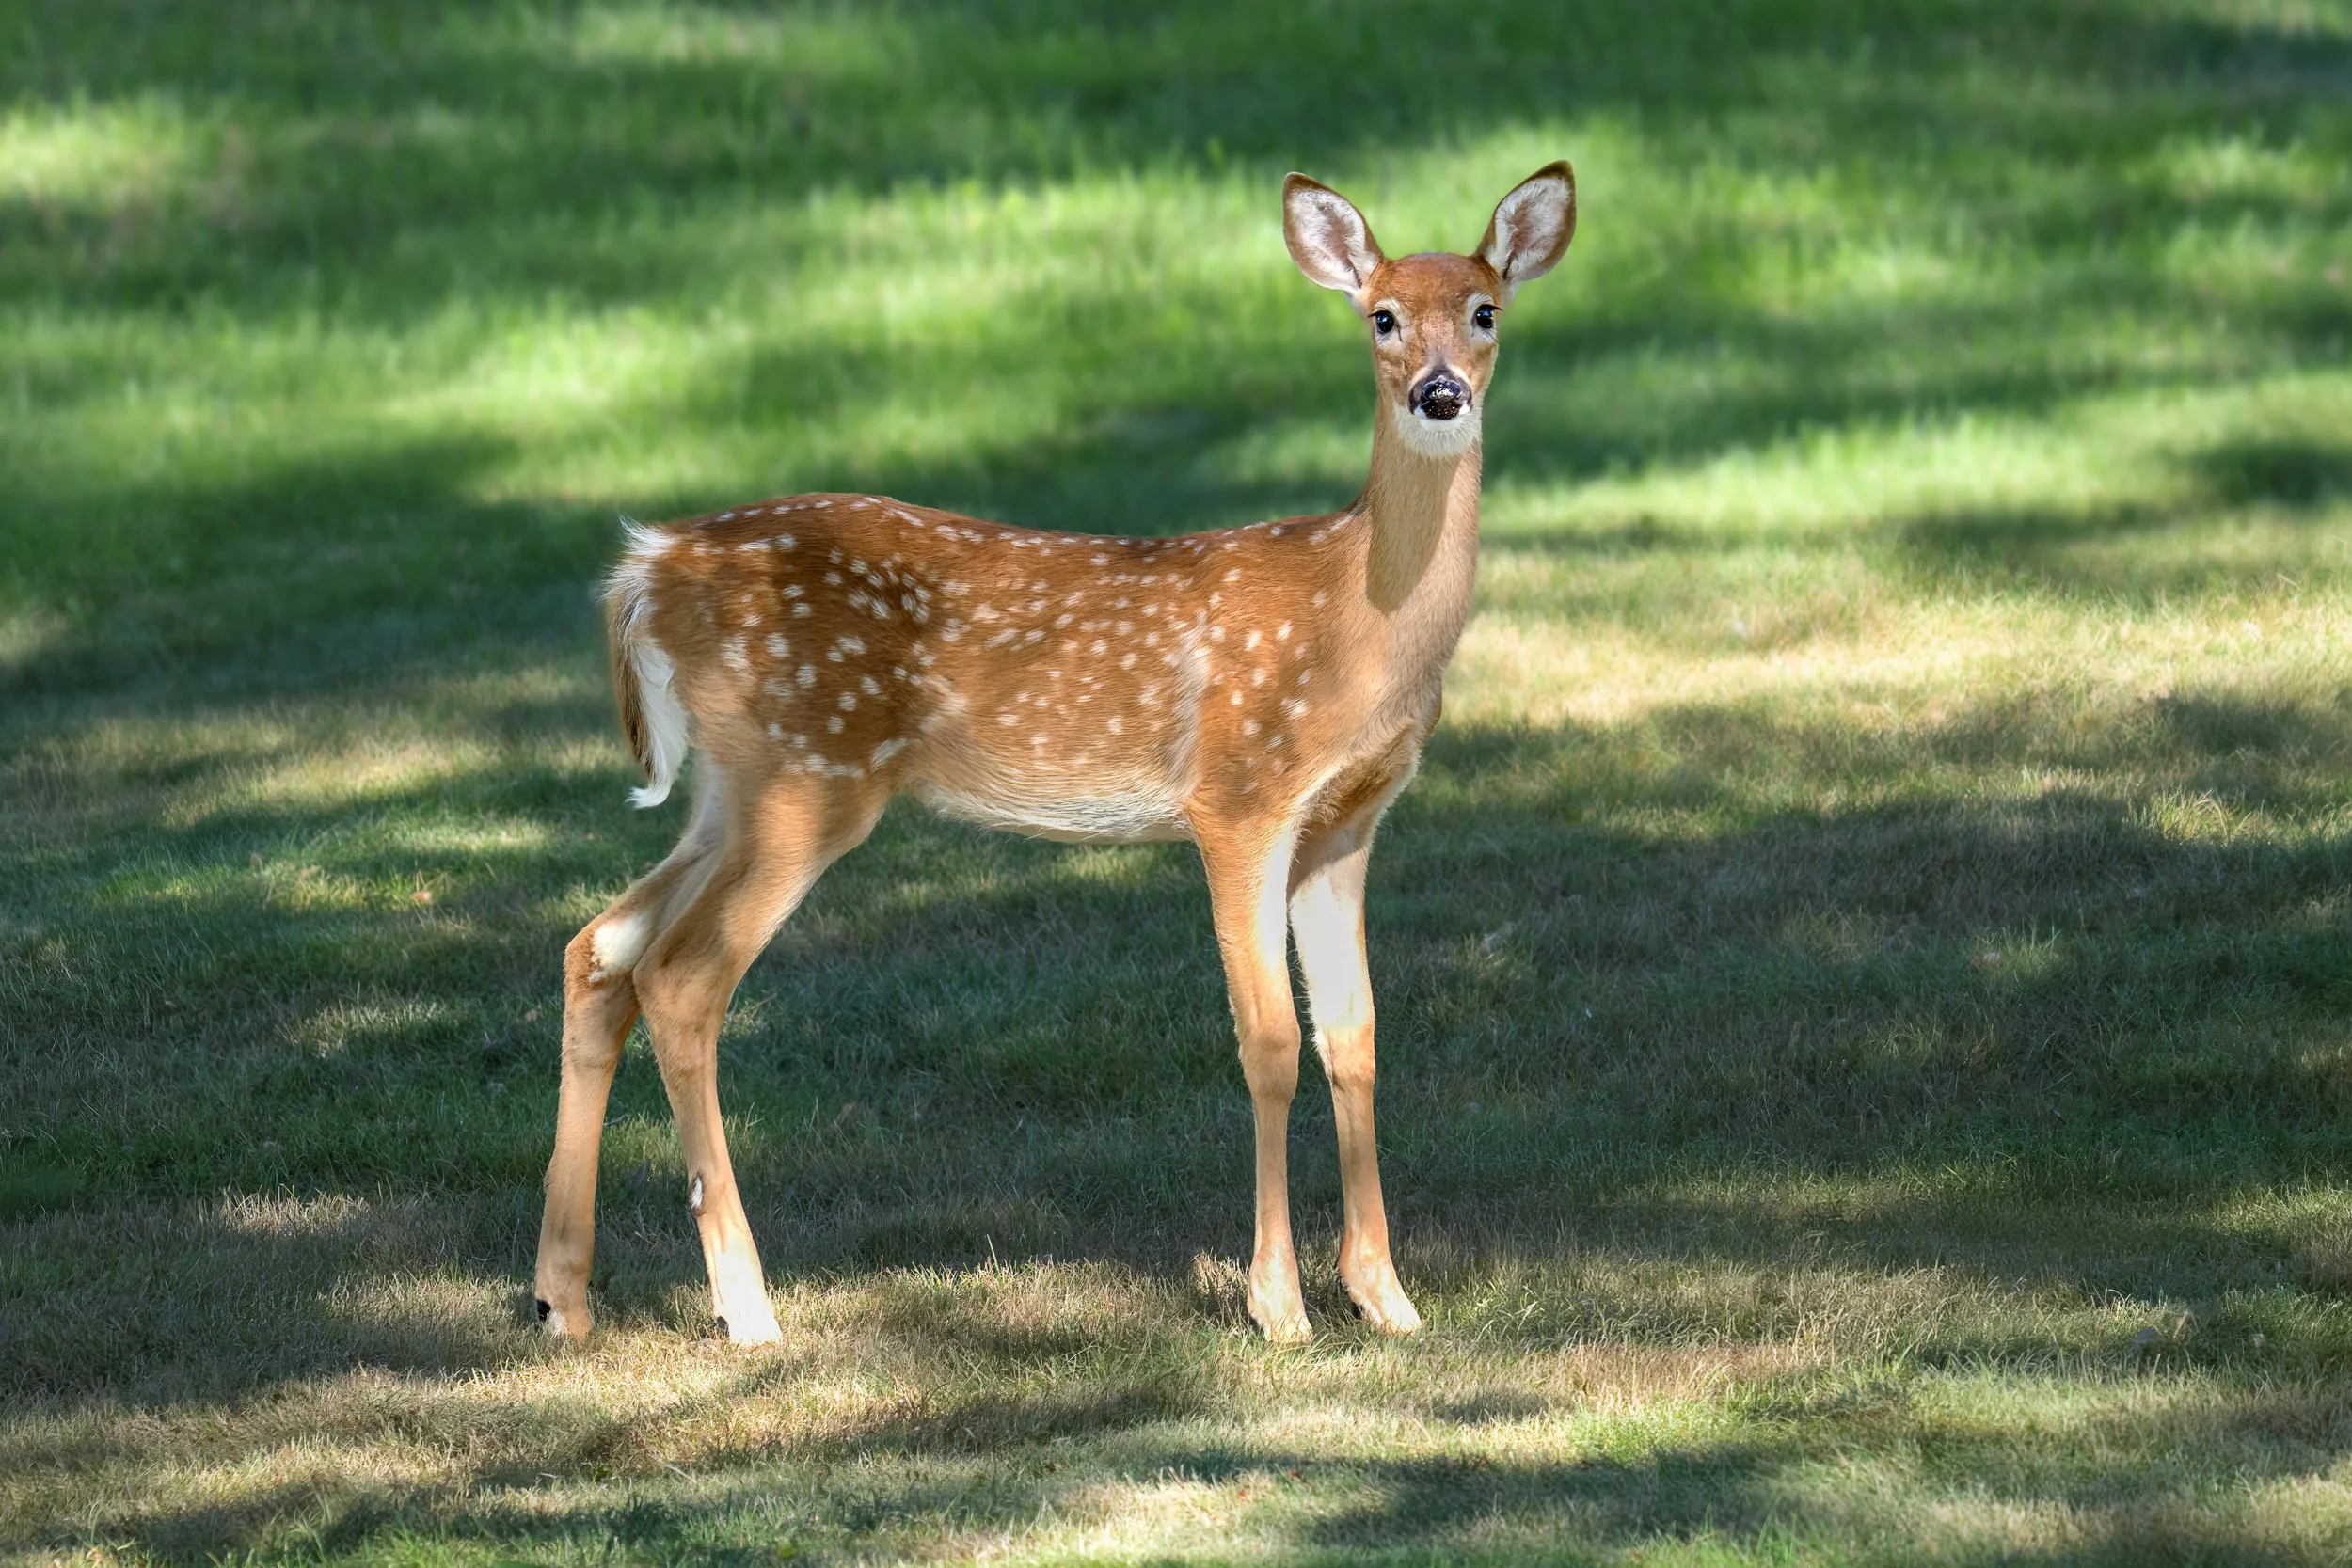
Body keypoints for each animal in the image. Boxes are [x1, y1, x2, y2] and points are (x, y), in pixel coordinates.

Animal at [532, 162, 1577, 1345]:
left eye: (1485, 310)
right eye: (1382, 317)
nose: (1438, 394)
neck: (1353, 618)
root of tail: (647, 569)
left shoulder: (1347, 818)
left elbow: (1350, 1036)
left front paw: (1386, 1296)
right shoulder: (1238, 792)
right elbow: (1266, 1040)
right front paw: (1277, 1304)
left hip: (735, 782)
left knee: (600, 945)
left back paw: (561, 1296)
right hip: (810, 769)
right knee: (680, 976)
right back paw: (747, 1305)